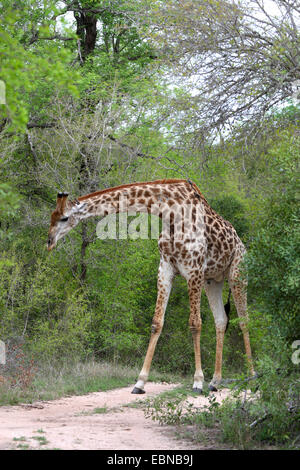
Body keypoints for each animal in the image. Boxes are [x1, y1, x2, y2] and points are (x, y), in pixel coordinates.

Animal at [47, 179, 255, 392]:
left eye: (64, 218)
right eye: (51, 216)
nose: (49, 241)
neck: (170, 211)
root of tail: (241, 244)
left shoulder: (194, 269)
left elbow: (195, 323)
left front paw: (197, 381)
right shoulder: (166, 268)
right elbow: (157, 322)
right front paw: (140, 382)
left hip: (237, 275)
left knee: (244, 320)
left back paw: (252, 378)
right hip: (213, 280)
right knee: (221, 320)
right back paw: (215, 381)